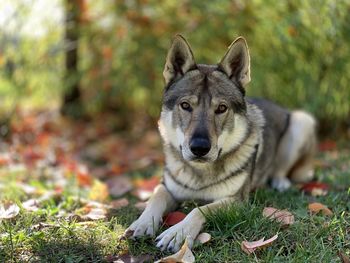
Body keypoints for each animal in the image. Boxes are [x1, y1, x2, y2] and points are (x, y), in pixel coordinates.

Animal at [124, 35, 316, 254]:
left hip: (302, 121)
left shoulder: (237, 201)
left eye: (221, 108)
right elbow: (155, 197)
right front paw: (142, 223)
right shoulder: (168, 188)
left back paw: (280, 182)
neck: (199, 175)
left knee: (281, 171)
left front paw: (178, 233)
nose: (199, 148)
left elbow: (200, 209)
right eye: (185, 105)